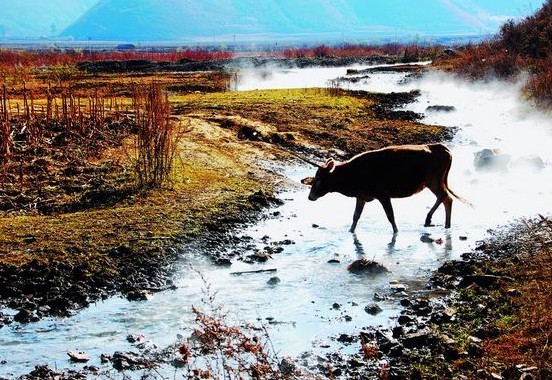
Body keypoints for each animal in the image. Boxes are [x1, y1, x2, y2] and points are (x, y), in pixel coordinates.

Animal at [308, 142, 464, 232]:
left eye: (319, 178)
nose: (310, 197)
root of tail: (444, 149)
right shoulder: (361, 196)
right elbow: (355, 216)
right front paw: (351, 232)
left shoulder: (383, 194)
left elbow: (390, 216)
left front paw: (396, 232)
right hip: (435, 182)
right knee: (447, 199)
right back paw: (446, 225)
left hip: (433, 181)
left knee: (445, 197)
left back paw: (429, 219)